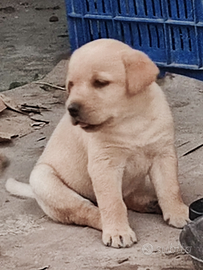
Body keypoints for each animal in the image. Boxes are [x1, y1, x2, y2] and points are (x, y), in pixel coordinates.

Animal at [5, 39, 189, 248]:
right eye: (71, 85)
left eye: (100, 83)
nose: (72, 109)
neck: (131, 120)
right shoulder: (104, 165)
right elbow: (112, 203)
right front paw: (118, 232)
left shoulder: (163, 154)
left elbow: (170, 188)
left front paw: (178, 213)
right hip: (46, 182)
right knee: (87, 210)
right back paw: (109, 224)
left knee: (127, 196)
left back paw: (149, 203)